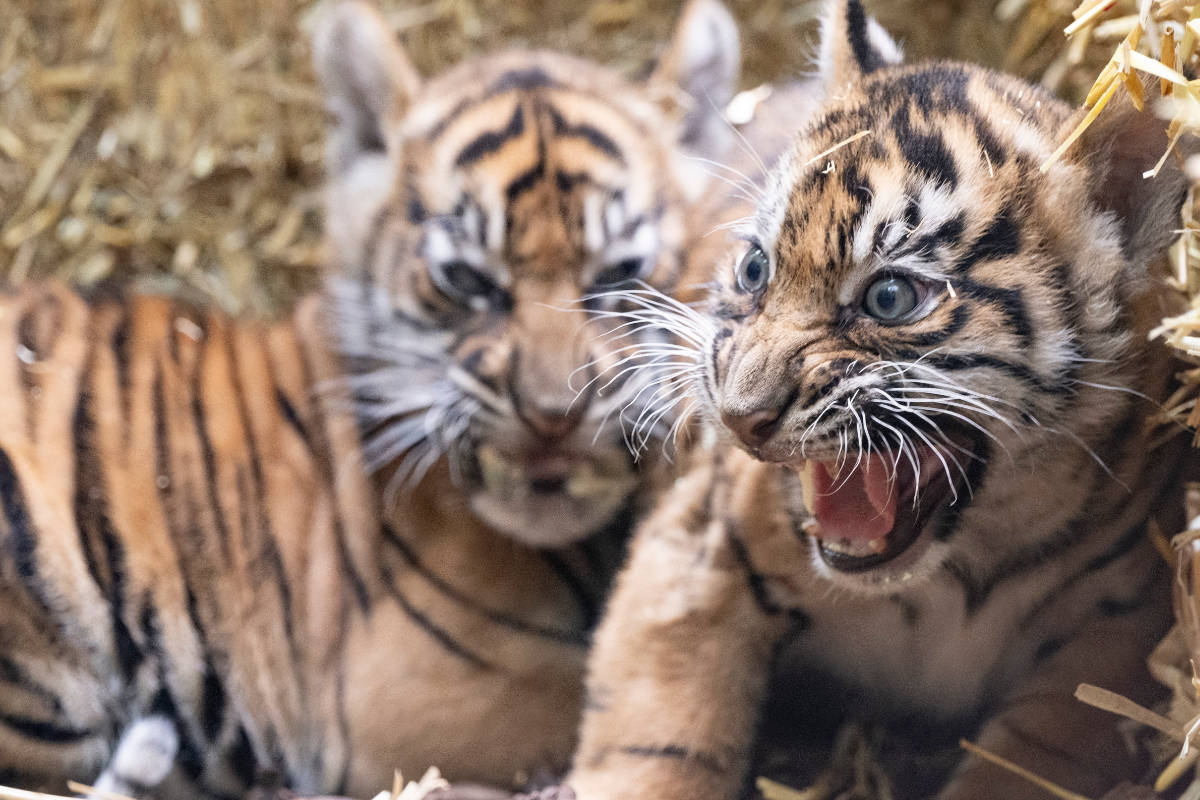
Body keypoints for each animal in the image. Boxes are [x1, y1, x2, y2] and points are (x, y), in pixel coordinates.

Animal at [562, 2, 1193, 799]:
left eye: (889, 297)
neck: (950, 574)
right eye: (755, 268)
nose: (738, 419)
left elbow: (1023, 764)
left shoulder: (1109, 640)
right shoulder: (698, 550)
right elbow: (661, 740)